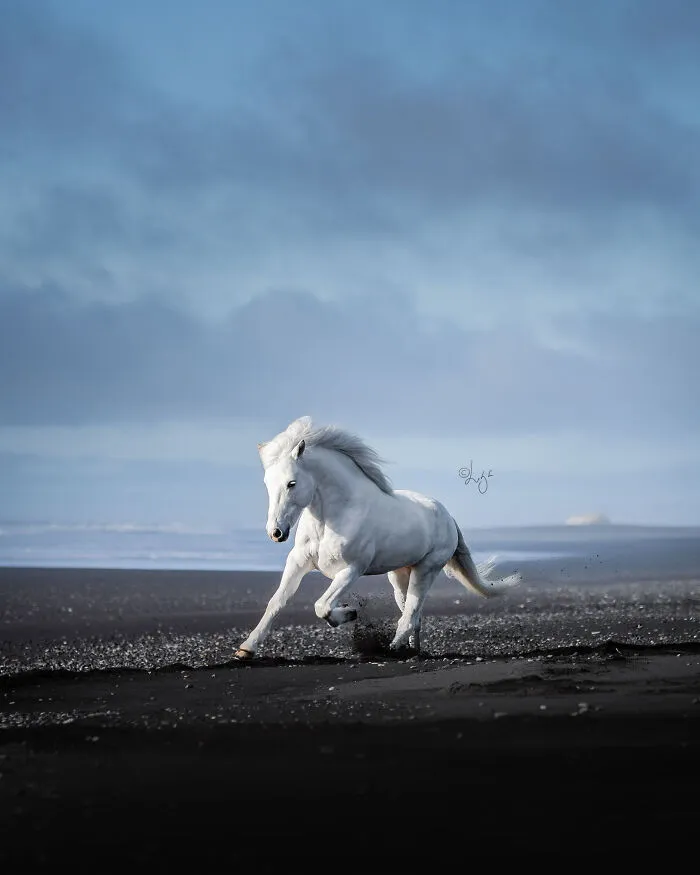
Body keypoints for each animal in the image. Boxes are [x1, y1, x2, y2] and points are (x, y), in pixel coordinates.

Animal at [234, 416, 521, 660]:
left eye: (291, 483)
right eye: (267, 483)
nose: (276, 532)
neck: (331, 519)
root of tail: (448, 517)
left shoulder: (352, 569)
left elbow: (322, 606)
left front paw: (349, 612)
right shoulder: (298, 563)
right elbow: (277, 602)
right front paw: (246, 649)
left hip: (426, 570)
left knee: (410, 615)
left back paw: (393, 648)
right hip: (400, 575)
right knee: (414, 615)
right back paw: (412, 651)